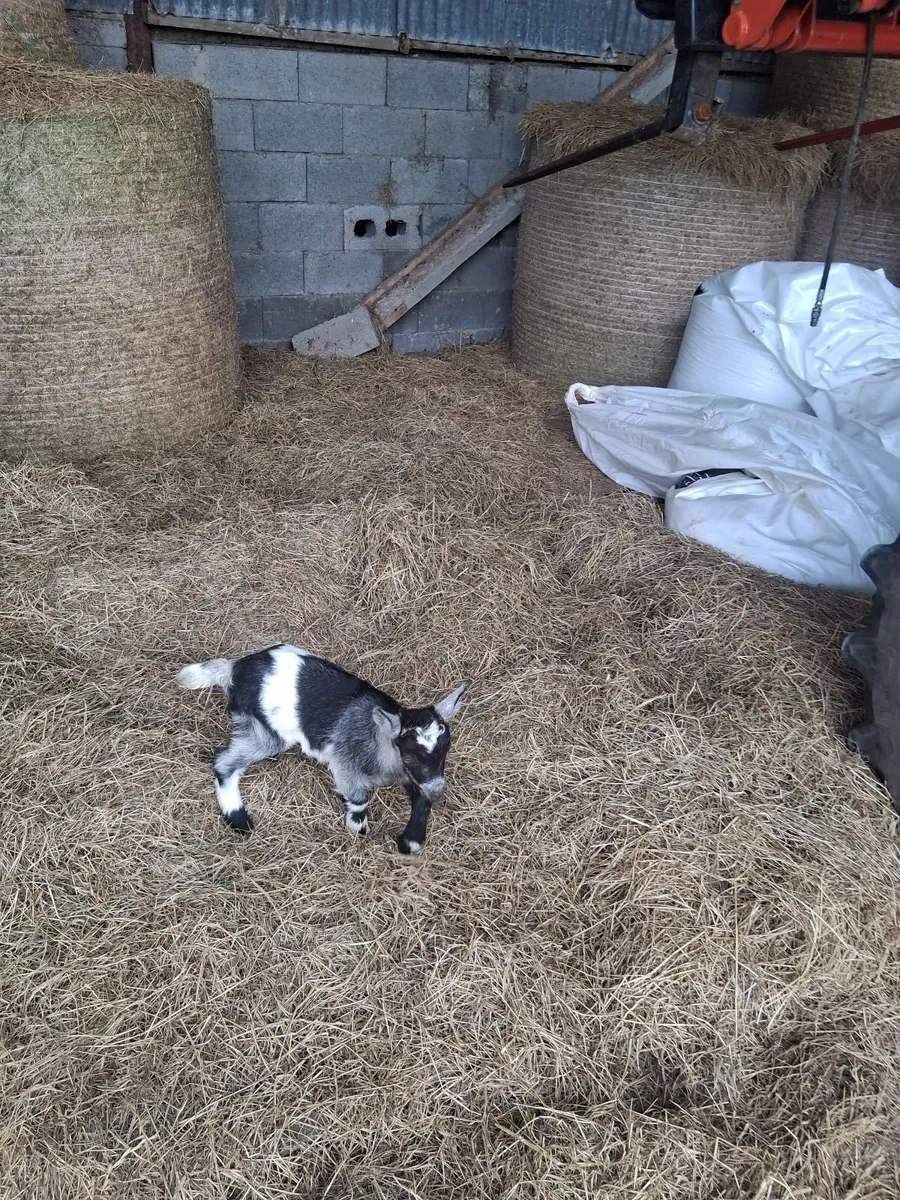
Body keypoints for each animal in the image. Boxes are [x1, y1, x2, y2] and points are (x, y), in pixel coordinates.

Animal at [178, 645, 467, 854]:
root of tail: (233, 669)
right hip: (265, 730)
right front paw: (358, 828)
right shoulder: (345, 762)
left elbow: (420, 798)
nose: (439, 793)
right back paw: (239, 819)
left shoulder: (416, 775)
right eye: (408, 755)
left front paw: (410, 842)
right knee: (224, 762)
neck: (381, 742)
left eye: (446, 750)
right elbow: (359, 798)